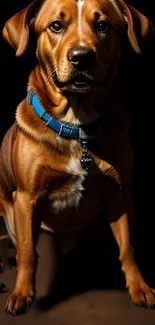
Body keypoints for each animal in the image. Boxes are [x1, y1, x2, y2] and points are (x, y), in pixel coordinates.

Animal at [0, 0, 155, 316]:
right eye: (56, 25)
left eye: (103, 25)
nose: (81, 57)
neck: (77, 127)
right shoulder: (26, 198)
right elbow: (26, 252)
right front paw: (22, 292)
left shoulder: (120, 195)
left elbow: (128, 248)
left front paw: (139, 287)